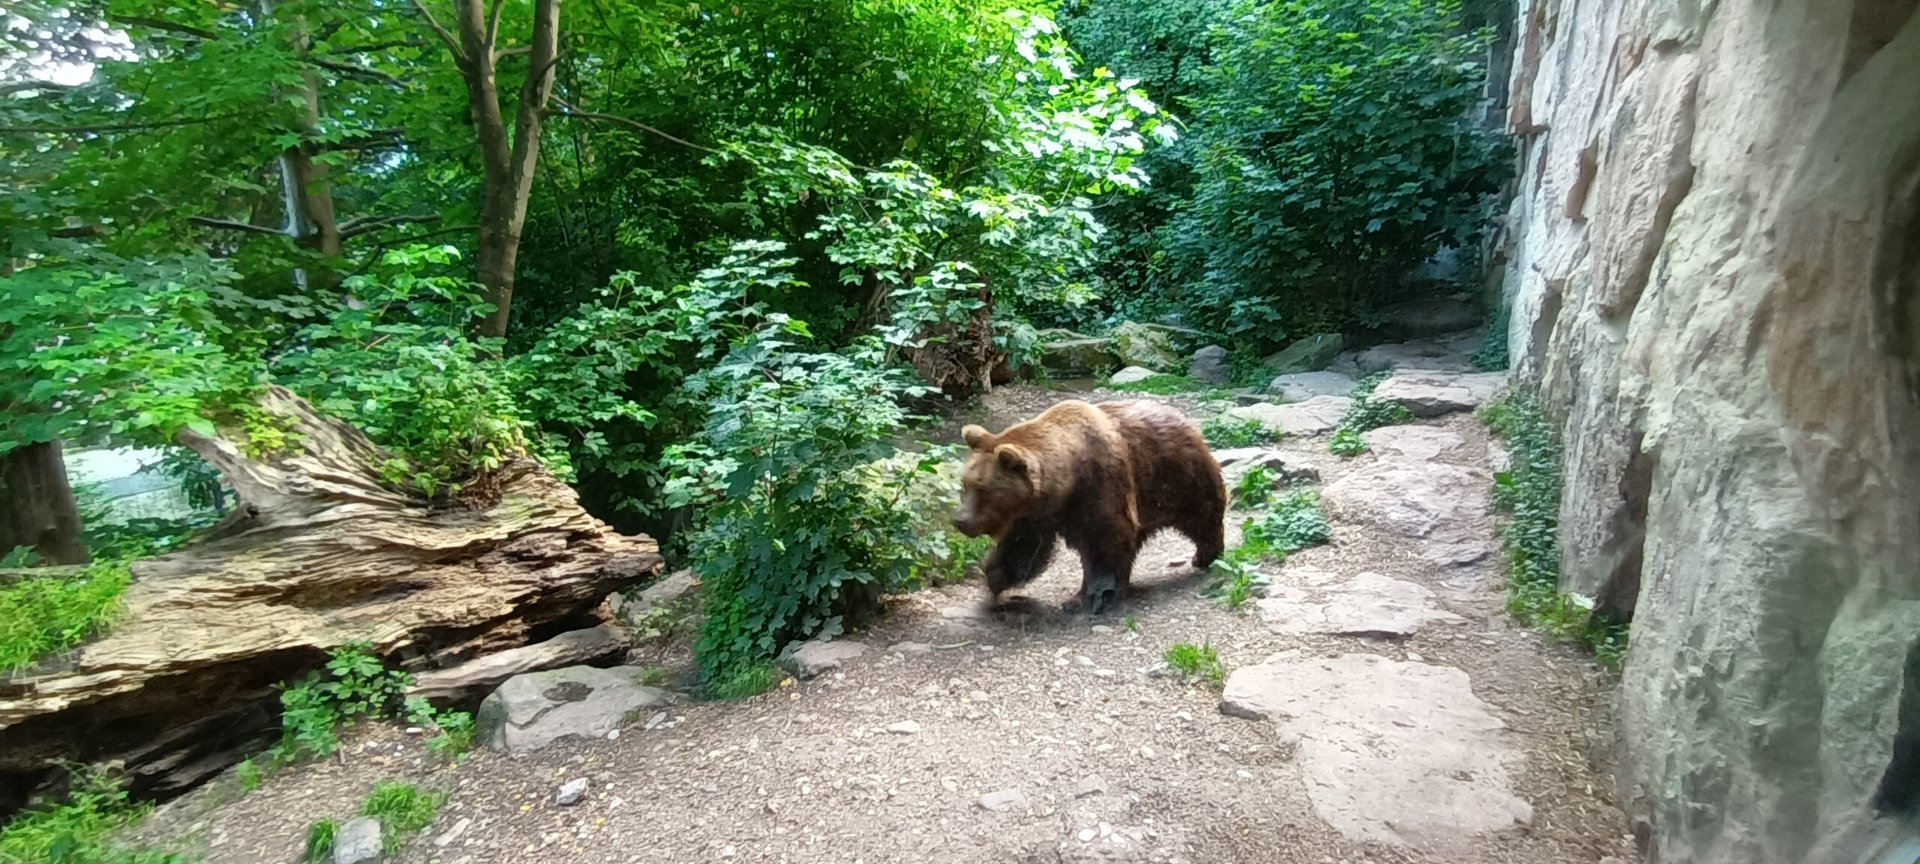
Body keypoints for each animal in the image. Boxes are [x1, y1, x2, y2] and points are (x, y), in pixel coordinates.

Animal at [950, 399, 1228, 614]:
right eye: (965, 485)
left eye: (984, 491)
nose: (960, 520)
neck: (1067, 486)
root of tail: (1180, 416)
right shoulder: (1036, 516)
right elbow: (1023, 548)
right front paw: (996, 577)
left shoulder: (1100, 487)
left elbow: (1106, 541)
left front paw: (1096, 595)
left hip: (1177, 475)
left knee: (1201, 515)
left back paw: (1205, 555)